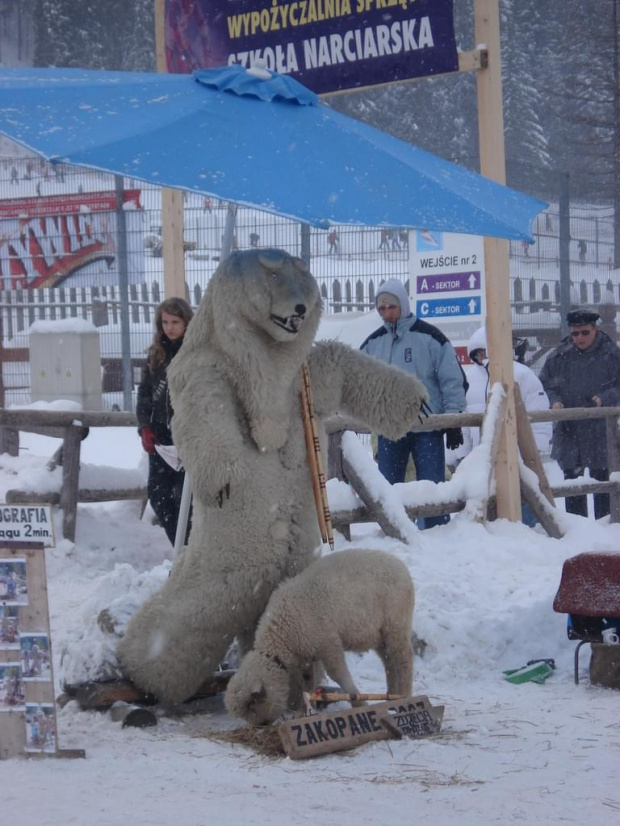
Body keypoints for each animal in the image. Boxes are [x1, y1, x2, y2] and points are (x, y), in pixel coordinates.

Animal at [225, 552, 414, 724]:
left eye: (252, 707)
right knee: (389, 662)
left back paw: (405, 695)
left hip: (396, 623)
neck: (281, 634)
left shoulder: (328, 644)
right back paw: (391, 696)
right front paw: (304, 711)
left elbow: (338, 675)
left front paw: (359, 703)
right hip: (380, 634)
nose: (261, 726)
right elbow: (307, 681)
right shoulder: (305, 654)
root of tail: (402, 566)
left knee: (403, 659)